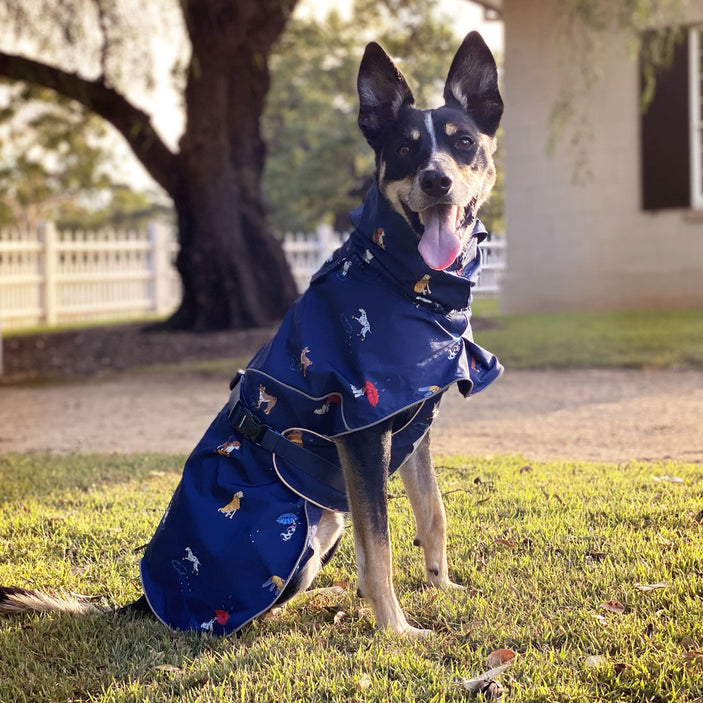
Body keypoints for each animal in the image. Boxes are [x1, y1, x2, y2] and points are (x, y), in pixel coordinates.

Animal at [1, 31, 506, 640]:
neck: (404, 283)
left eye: (463, 143)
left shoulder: (411, 430)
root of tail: (146, 600)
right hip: (293, 526)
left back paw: (336, 594)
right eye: (407, 150)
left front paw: (443, 588)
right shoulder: (361, 436)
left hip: (326, 516)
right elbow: (380, 548)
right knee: (245, 616)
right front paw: (396, 631)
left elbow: (433, 514)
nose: (437, 180)